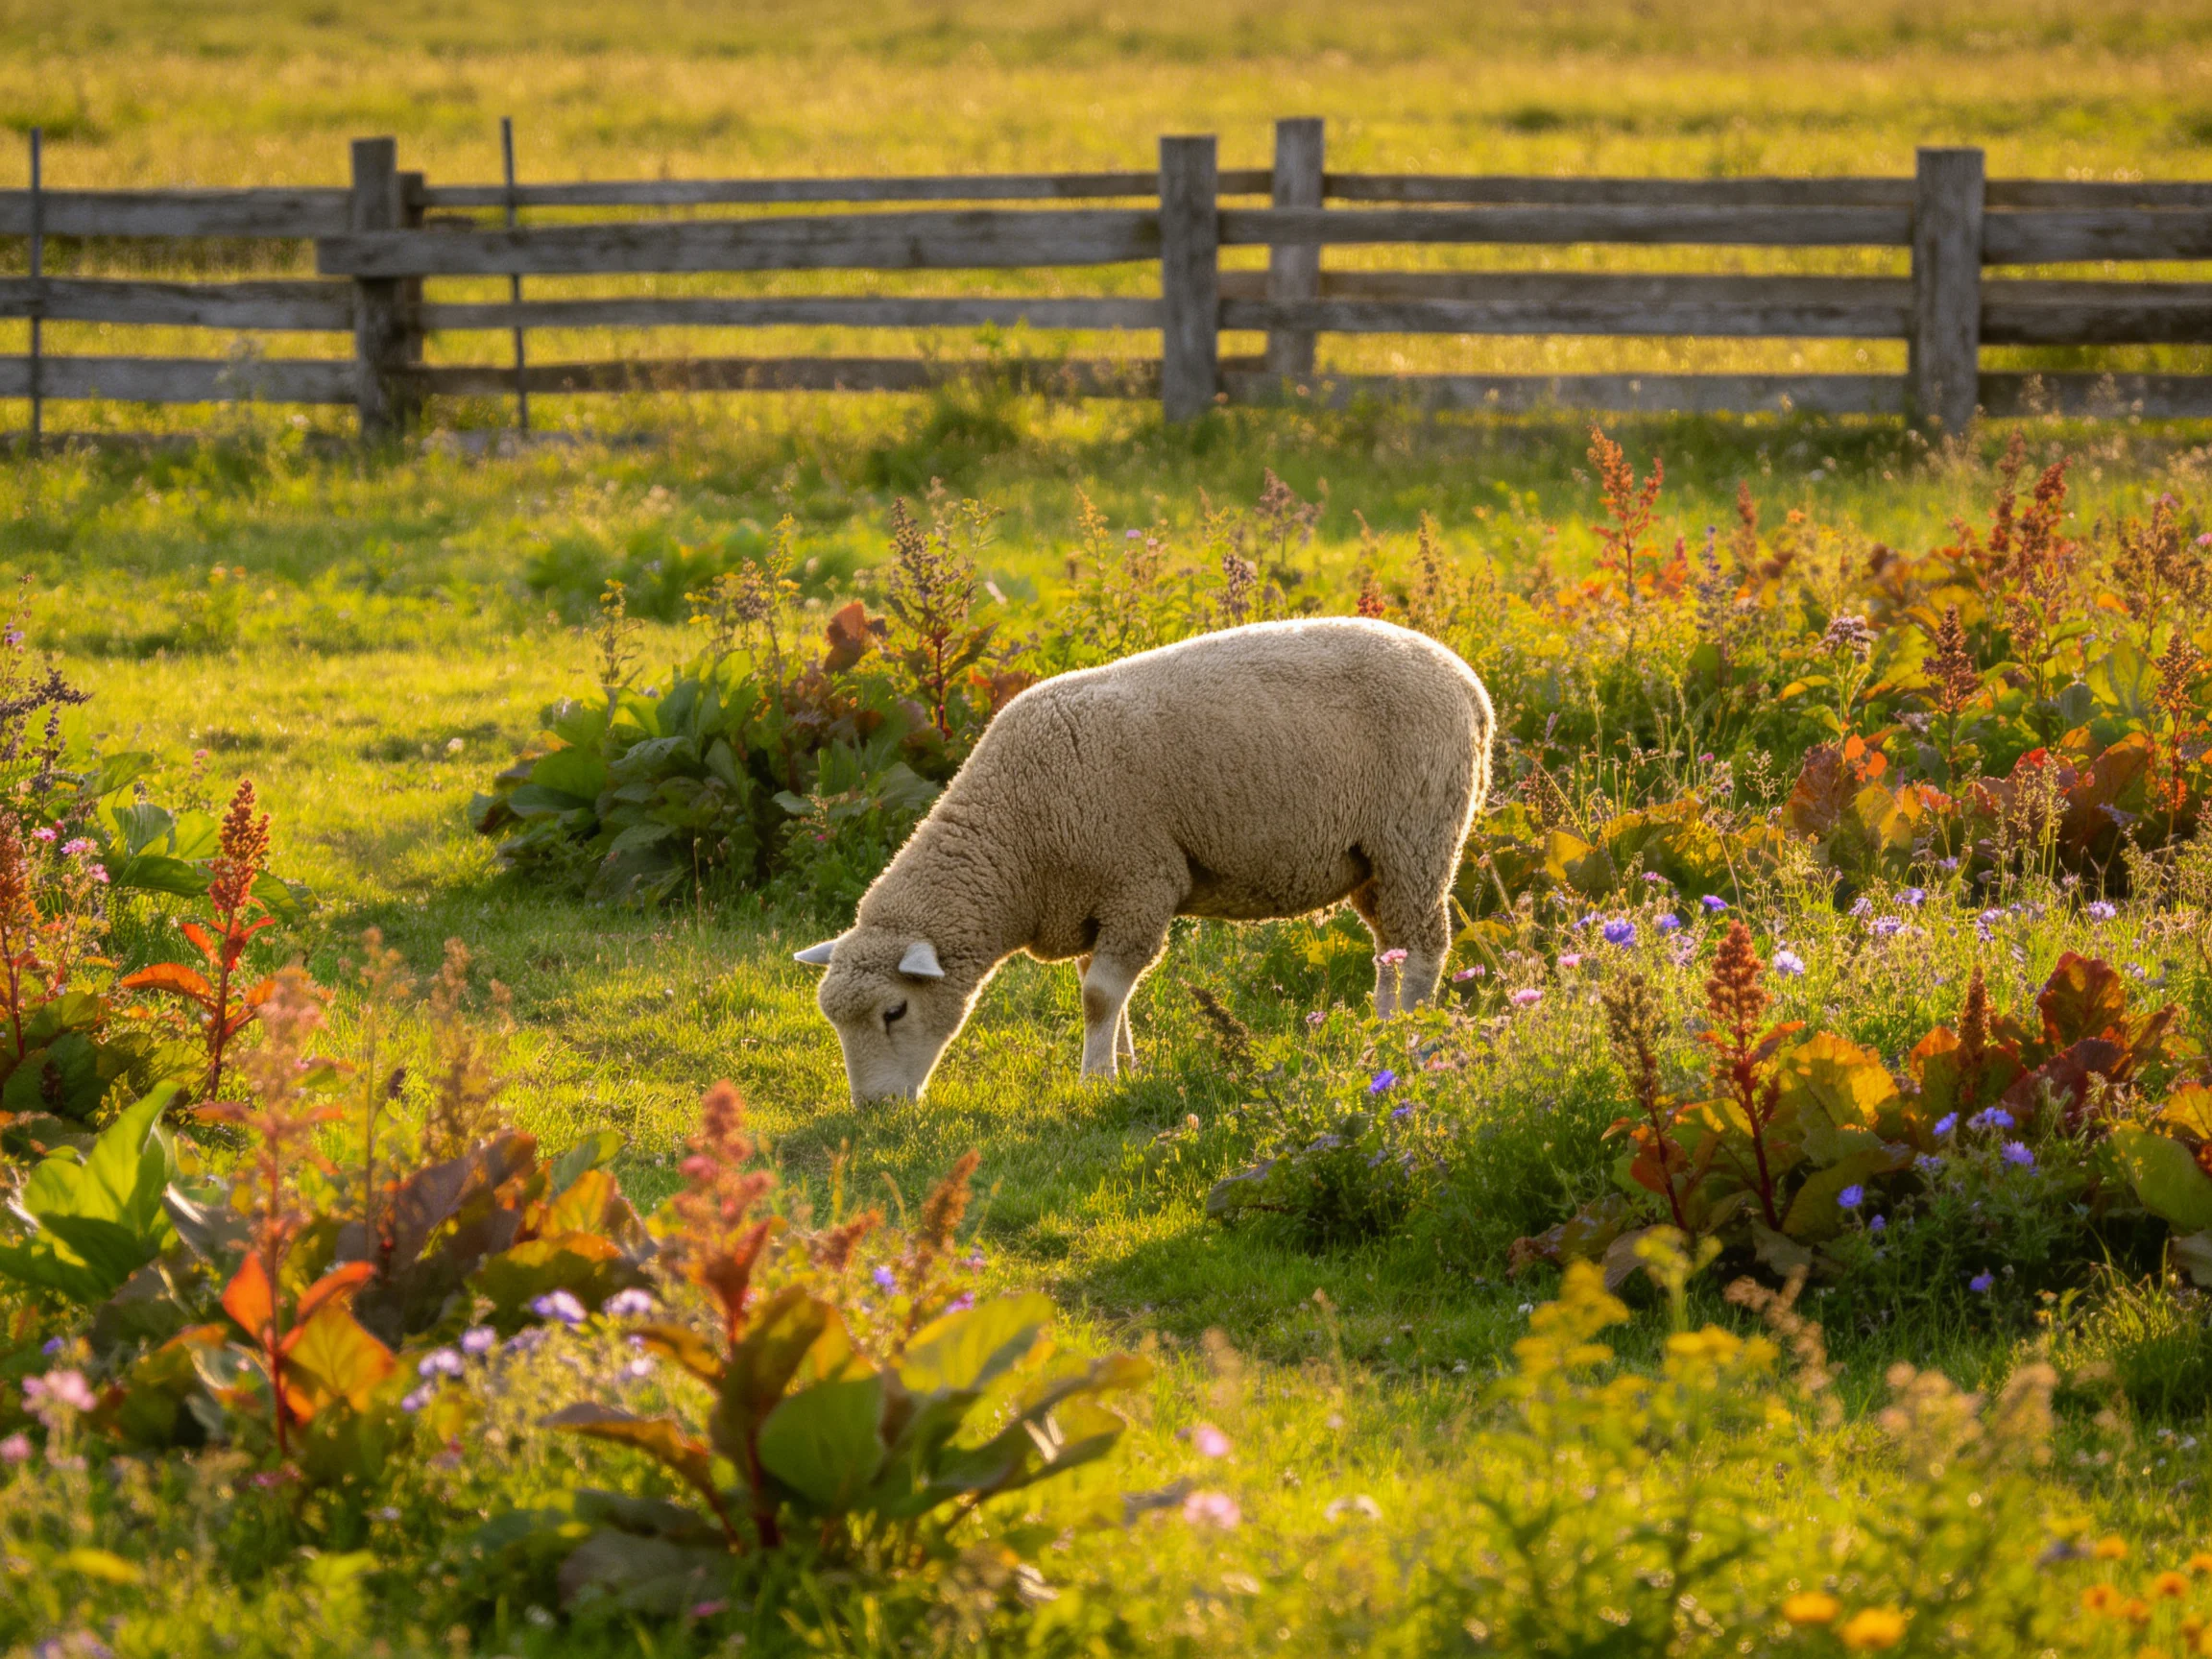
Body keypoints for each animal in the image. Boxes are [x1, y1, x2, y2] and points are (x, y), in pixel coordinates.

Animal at [794, 616, 1493, 1103]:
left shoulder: (1139, 883)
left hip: (1417, 835)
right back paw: (1379, 1035)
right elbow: (1102, 991)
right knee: (1390, 948)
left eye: (894, 1012)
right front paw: (1125, 1068)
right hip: (1374, 858)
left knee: (1424, 947)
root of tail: (1467, 683)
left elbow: (1099, 996)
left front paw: (1096, 1080)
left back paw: (1410, 1042)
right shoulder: (1092, 902)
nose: (874, 1110)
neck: (1015, 838)